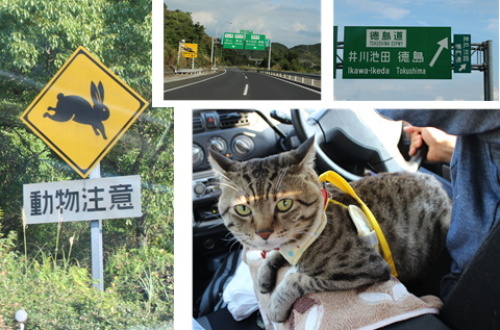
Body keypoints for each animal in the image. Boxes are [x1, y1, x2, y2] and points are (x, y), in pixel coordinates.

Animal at [209, 137, 452, 322]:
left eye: (284, 204)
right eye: (242, 208)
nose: (264, 233)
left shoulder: (367, 267)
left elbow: (296, 279)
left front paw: (276, 306)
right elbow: (275, 256)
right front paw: (264, 274)